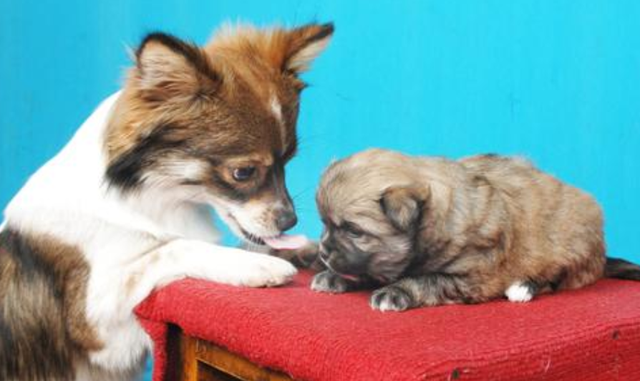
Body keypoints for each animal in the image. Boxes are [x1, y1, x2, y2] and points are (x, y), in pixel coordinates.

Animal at [1, 22, 336, 378]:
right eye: (243, 172)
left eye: (288, 161)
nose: (290, 221)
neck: (156, 198)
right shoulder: (97, 324)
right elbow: (172, 247)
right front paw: (257, 264)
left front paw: (307, 249)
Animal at [312, 149, 640, 312]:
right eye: (325, 223)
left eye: (353, 230)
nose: (324, 252)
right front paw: (334, 277)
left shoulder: (470, 276)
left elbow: (425, 280)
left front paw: (395, 292)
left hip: (570, 241)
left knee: (556, 277)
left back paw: (523, 286)